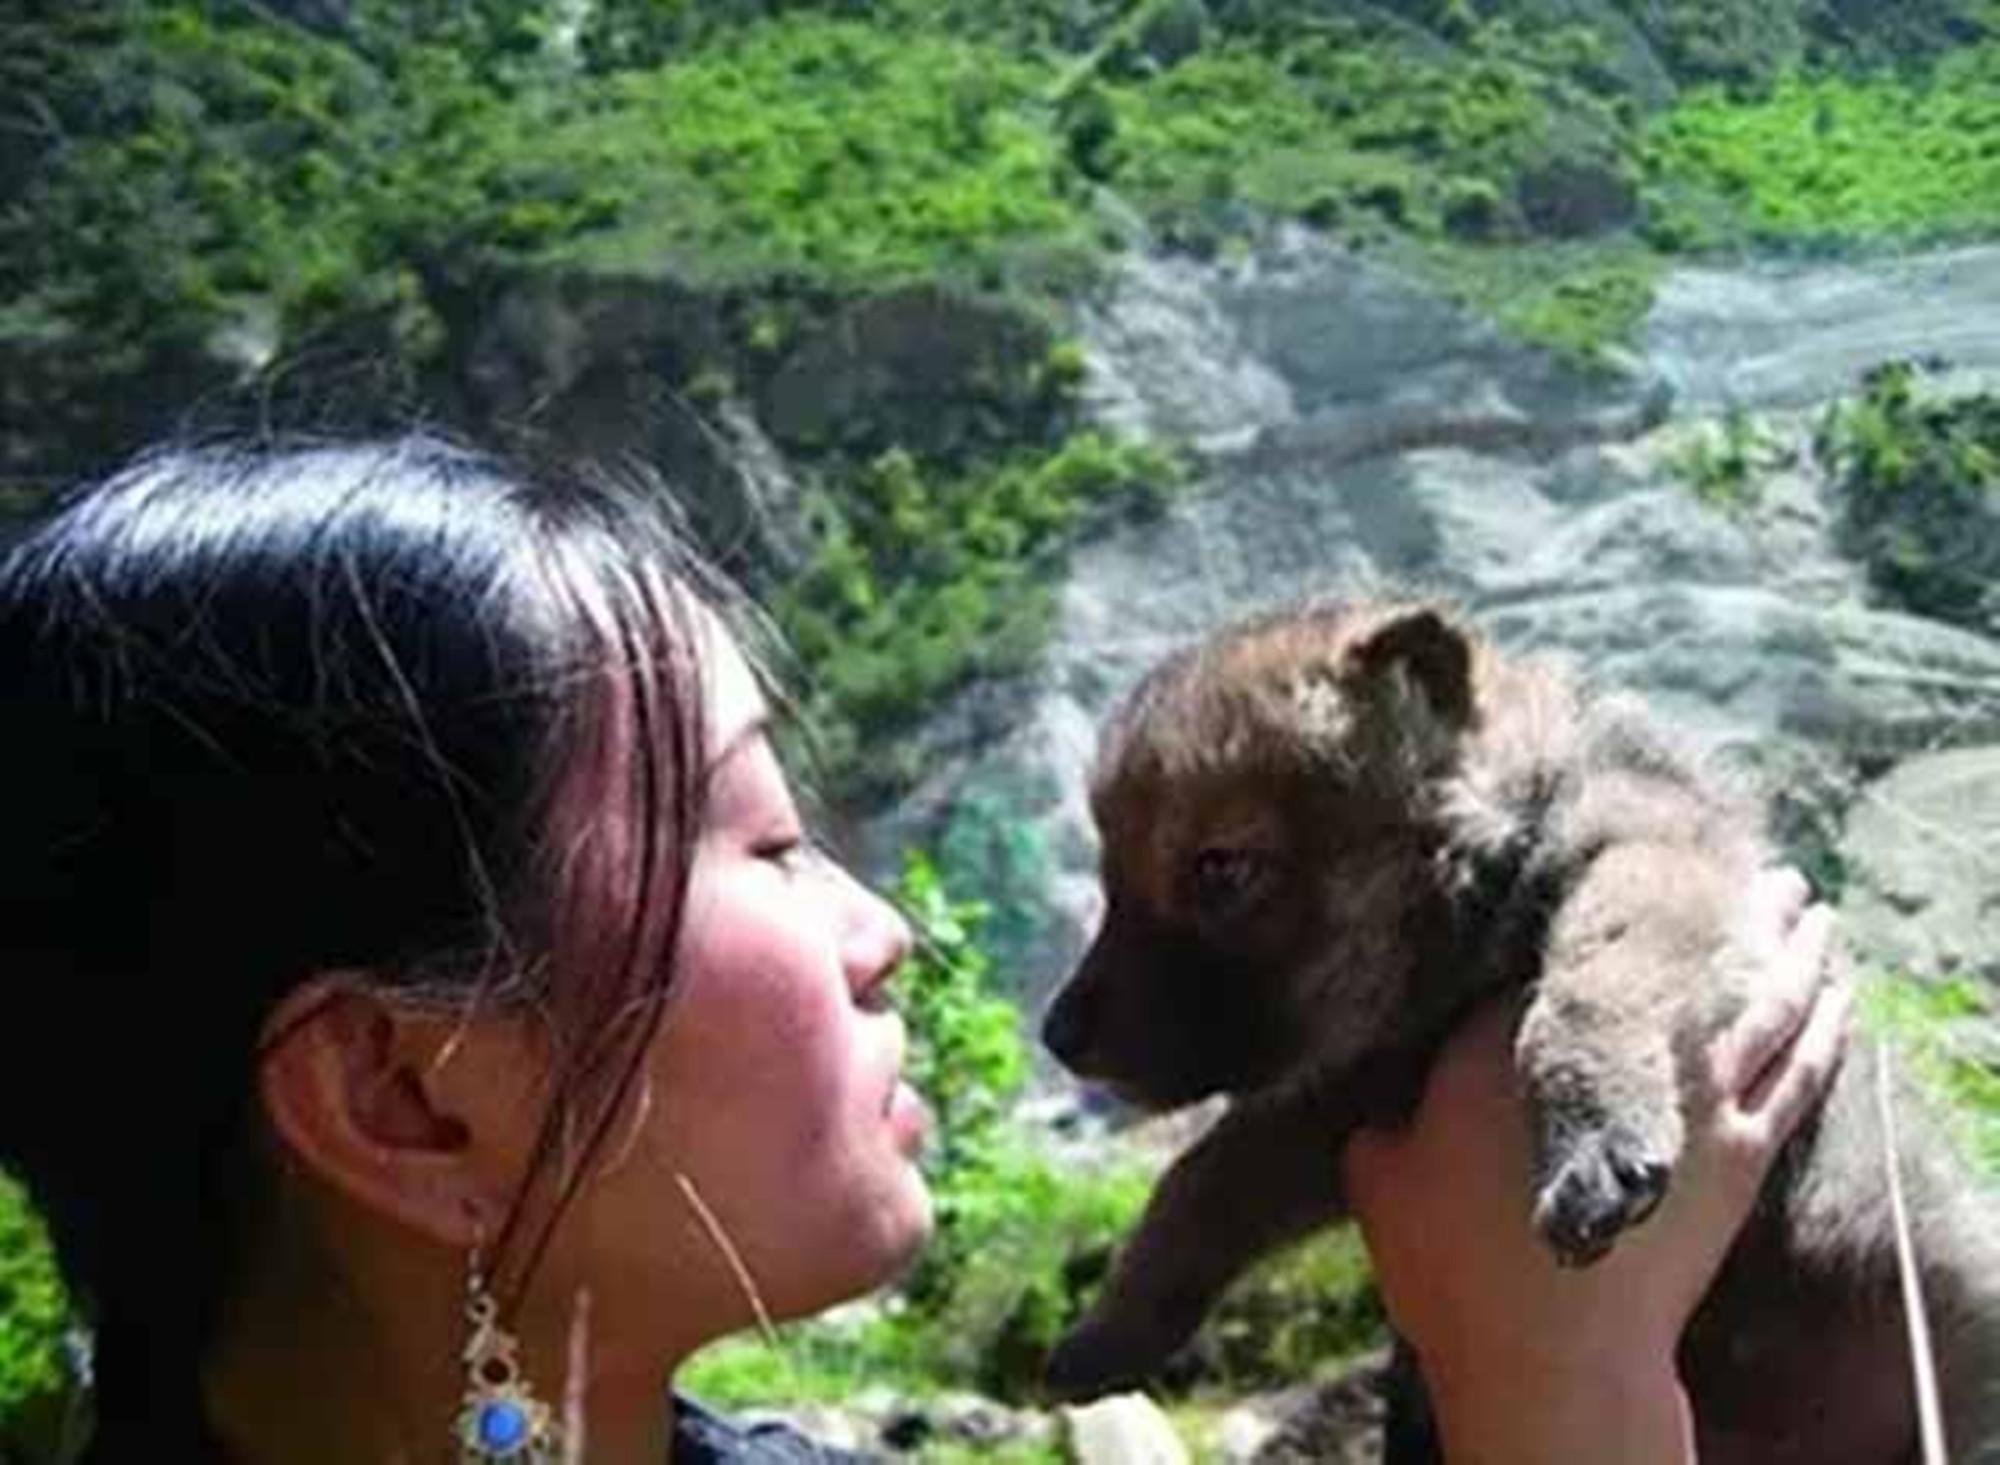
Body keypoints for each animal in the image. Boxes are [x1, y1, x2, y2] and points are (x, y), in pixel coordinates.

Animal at [1048, 596, 2000, 1465]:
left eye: (1221, 868)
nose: (1057, 1035)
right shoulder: (1355, 1099)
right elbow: (1206, 1176)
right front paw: (1114, 1325)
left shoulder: (1653, 862)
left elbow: (1580, 997)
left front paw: (1594, 1133)